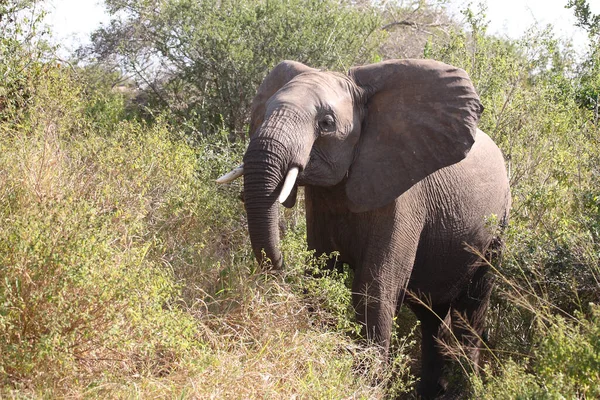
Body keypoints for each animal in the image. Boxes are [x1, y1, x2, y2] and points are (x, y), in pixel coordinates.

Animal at [218, 57, 508, 398]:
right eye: (263, 113)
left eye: (326, 123)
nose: (279, 267)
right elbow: (319, 274)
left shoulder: (402, 197)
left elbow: (375, 288)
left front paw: (365, 387)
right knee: (431, 318)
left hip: (496, 228)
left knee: (470, 311)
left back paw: (466, 389)